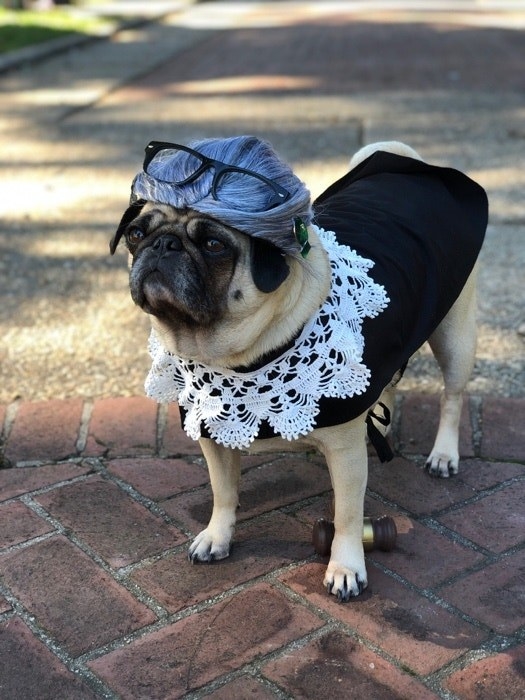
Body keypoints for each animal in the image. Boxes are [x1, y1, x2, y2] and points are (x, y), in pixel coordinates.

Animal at [110, 137, 488, 600]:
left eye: (215, 246)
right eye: (136, 234)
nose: (164, 245)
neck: (237, 357)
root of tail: (406, 163)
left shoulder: (344, 451)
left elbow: (347, 514)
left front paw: (345, 566)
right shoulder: (212, 433)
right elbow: (223, 491)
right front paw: (217, 535)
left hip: (455, 335)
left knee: (452, 396)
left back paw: (444, 454)